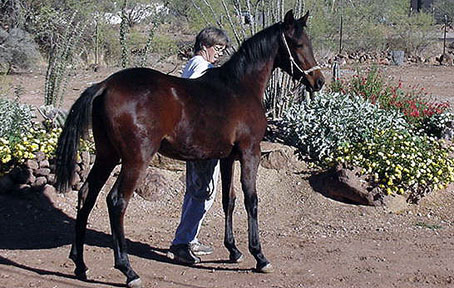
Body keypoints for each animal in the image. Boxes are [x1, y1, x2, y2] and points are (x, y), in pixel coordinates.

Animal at [55, 10, 322, 286]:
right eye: (298, 44)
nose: (319, 81)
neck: (239, 87)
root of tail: (105, 85)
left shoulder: (227, 158)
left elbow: (228, 200)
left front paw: (234, 250)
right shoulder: (251, 153)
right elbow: (251, 200)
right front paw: (259, 256)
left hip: (107, 156)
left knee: (86, 194)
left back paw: (80, 264)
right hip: (135, 161)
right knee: (117, 201)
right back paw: (128, 270)